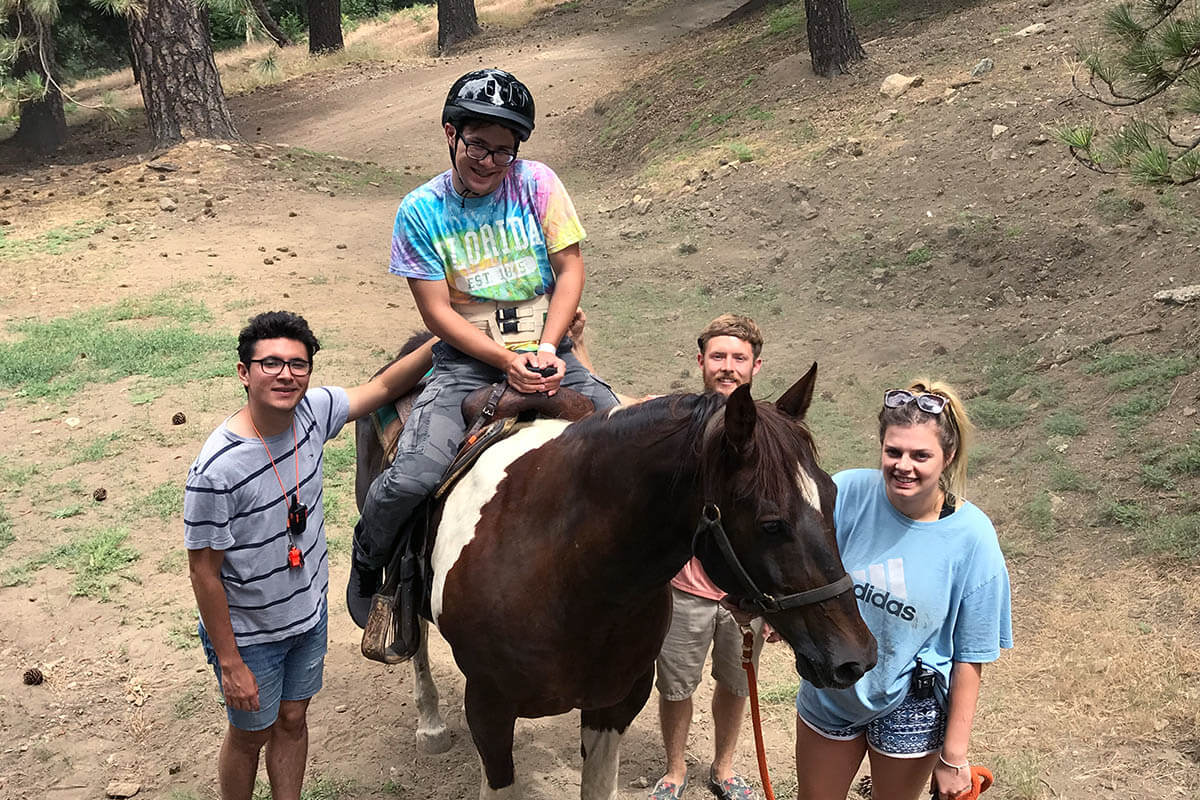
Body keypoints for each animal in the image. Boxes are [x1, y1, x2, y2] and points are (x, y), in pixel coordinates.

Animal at [352, 359, 873, 796]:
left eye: (831, 496)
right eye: (771, 523)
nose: (858, 657)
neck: (568, 574)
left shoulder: (615, 706)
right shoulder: (488, 708)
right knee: (415, 634)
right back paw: (430, 723)